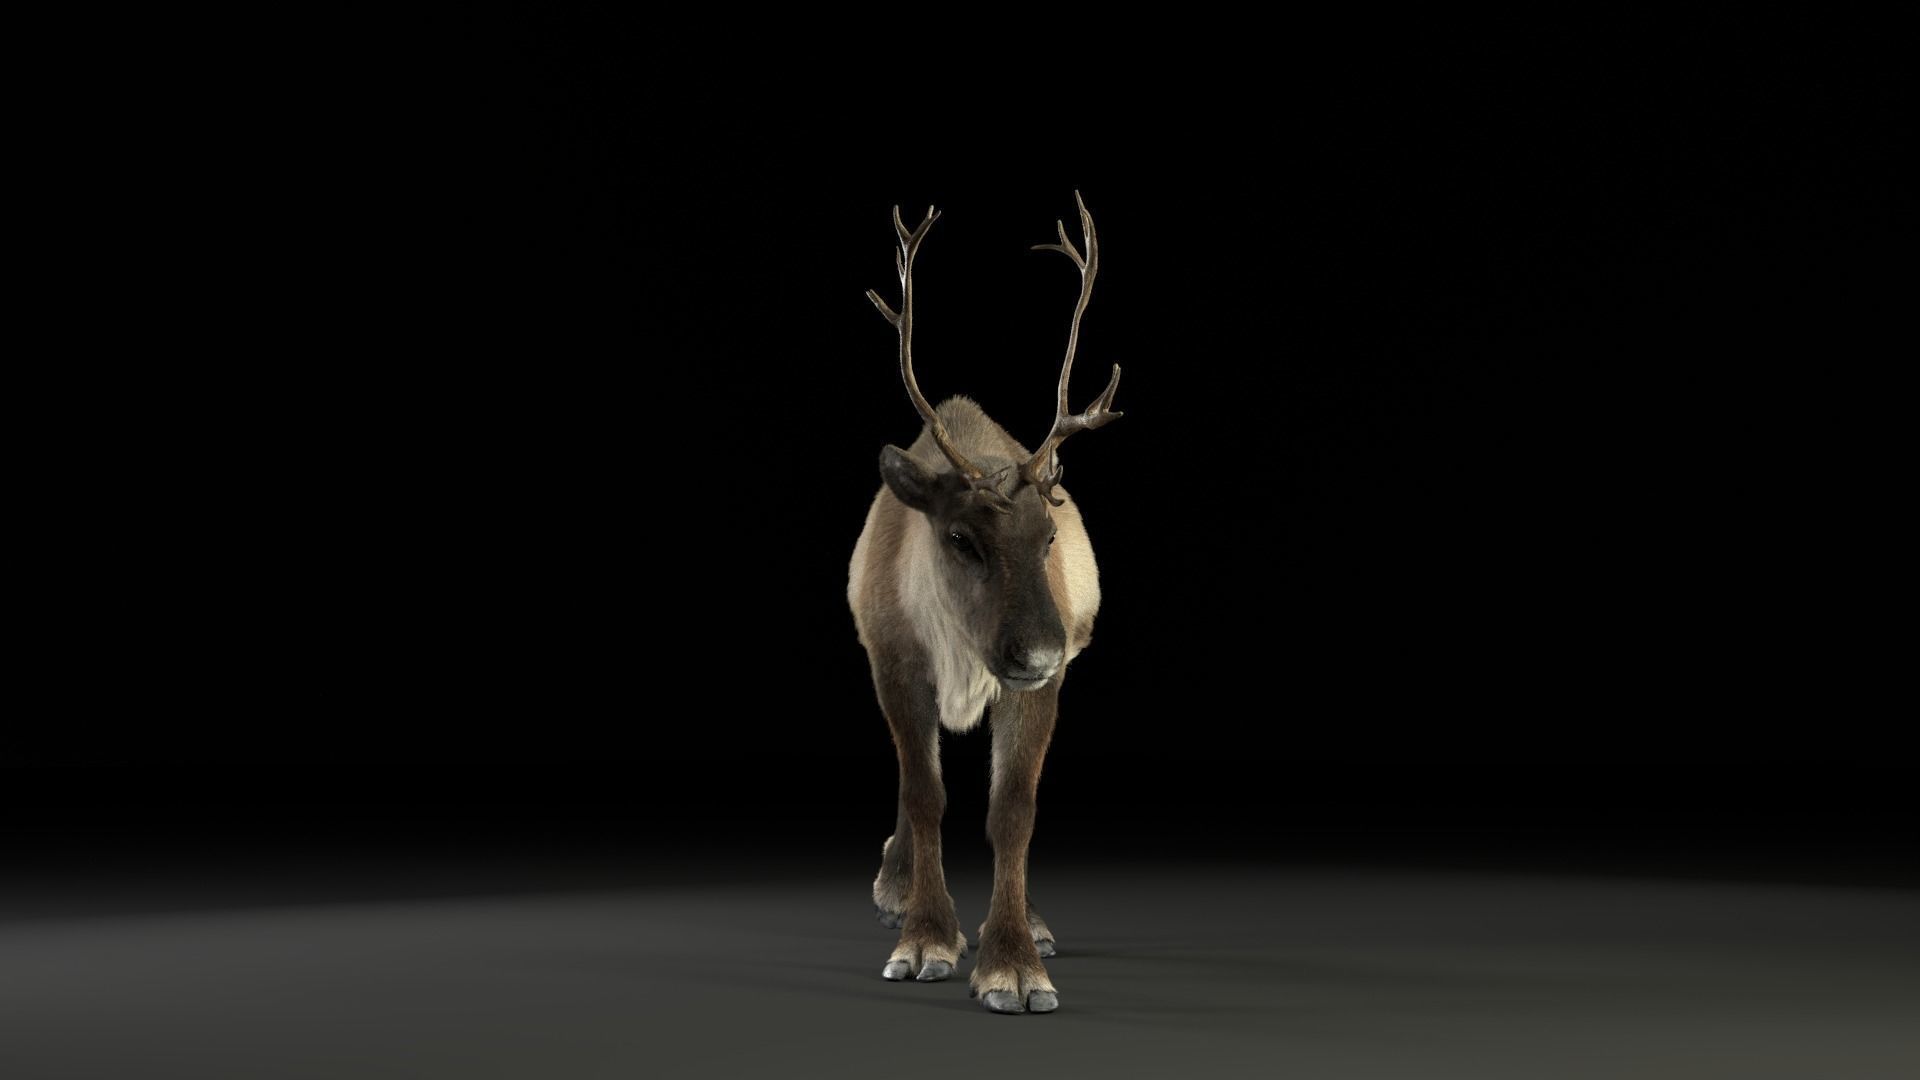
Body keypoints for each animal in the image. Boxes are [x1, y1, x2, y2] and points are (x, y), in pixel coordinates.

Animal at [847, 192, 1121, 1015]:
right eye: (960, 537)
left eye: (1049, 534)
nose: (1039, 649)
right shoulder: (895, 663)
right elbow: (925, 793)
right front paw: (925, 940)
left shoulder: (1042, 687)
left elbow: (1013, 811)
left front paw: (1015, 962)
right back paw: (895, 887)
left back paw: (1033, 921)